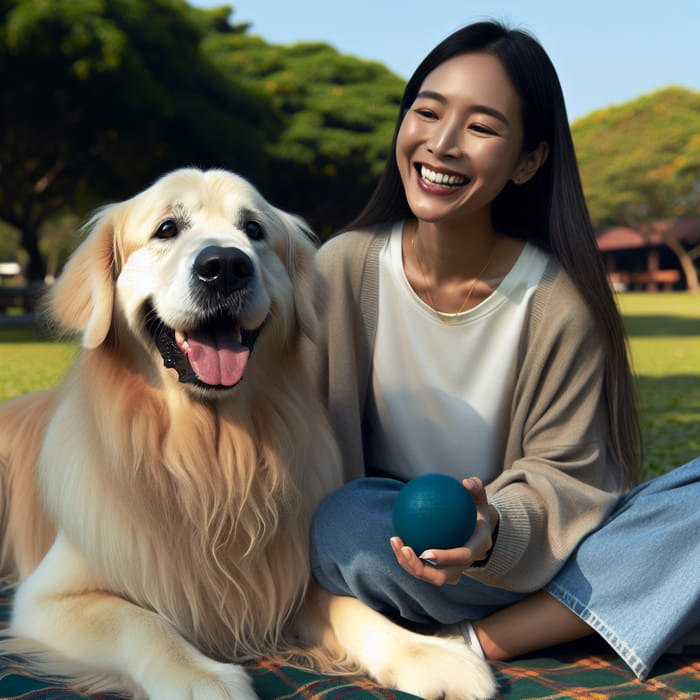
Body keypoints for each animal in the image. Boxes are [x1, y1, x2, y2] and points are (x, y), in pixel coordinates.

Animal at [0, 170, 494, 700]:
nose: (224, 267)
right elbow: (142, 622)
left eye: (254, 230)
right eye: (167, 228)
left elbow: (353, 606)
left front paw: (428, 653)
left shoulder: (286, 577)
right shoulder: (48, 599)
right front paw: (199, 678)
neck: (211, 457)